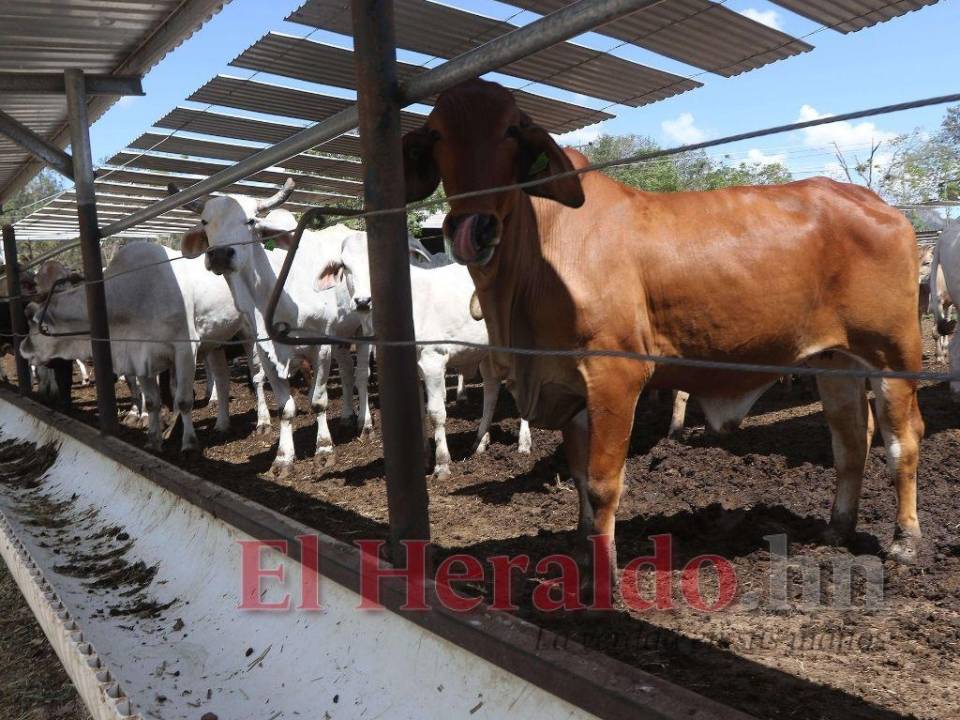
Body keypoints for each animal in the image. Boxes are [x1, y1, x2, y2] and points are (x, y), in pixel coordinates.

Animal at [176, 181, 376, 478]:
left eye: (250, 220)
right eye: (205, 221)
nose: (220, 254)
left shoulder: (320, 347)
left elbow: (318, 401)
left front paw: (324, 450)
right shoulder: (266, 350)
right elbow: (285, 408)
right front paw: (283, 457)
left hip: (364, 325)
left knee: (362, 375)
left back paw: (366, 423)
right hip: (342, 333)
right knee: (348, 370)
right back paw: (347, 416)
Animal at [402, 79, 928, 576]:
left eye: (512, 130)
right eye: (436, 133)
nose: (474, 228)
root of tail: (878, 205)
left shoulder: (614, 376)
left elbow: (602, 484)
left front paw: (605, 574)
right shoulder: (570, 387)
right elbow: (578, 477)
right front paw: (583, 548)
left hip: (893, 355)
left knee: (902, 441)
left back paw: (905, 540)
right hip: (836, 361)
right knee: (850, 442)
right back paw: (837, 527)